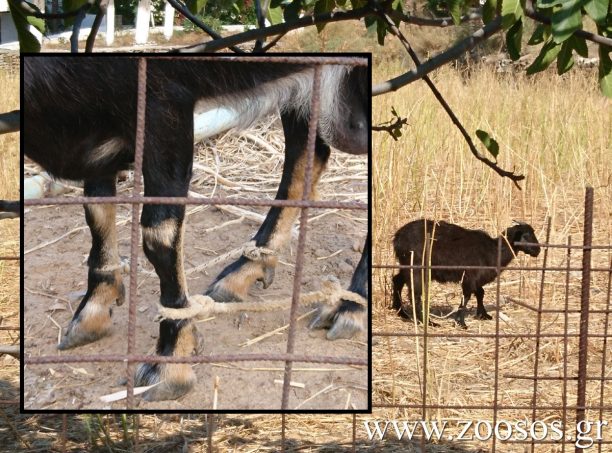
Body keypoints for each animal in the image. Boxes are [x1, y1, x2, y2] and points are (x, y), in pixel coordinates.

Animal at [392, 218, 540, 326]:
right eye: (526, 236)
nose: (538, 251)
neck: (494, 250)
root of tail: (398, 238)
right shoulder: (469, 277)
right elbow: (466, 297)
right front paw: (461, 322)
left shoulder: (476, 278)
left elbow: (480, 293)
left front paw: (483, 315)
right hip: (417, 268)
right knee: (415, 294)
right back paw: (427, 321)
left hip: (406, 266)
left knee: (397, 281)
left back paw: (401, 312)